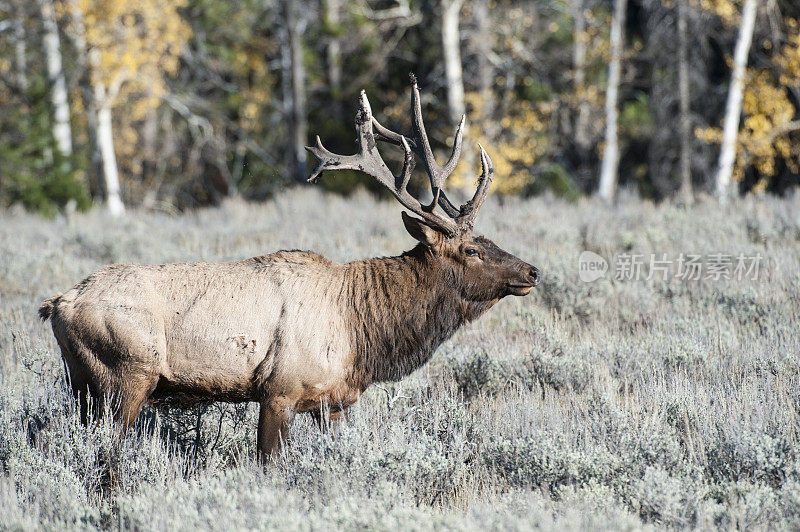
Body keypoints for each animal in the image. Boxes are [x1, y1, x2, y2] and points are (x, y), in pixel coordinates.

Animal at [36, 78, 536, 462]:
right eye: (471, 250)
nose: (531, 271)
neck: (364, 333)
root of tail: (57, 304)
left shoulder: (332, 402)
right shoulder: (279, 389)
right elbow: (269, 462)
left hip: (82, 384)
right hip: (124, 376)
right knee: (106, 450)